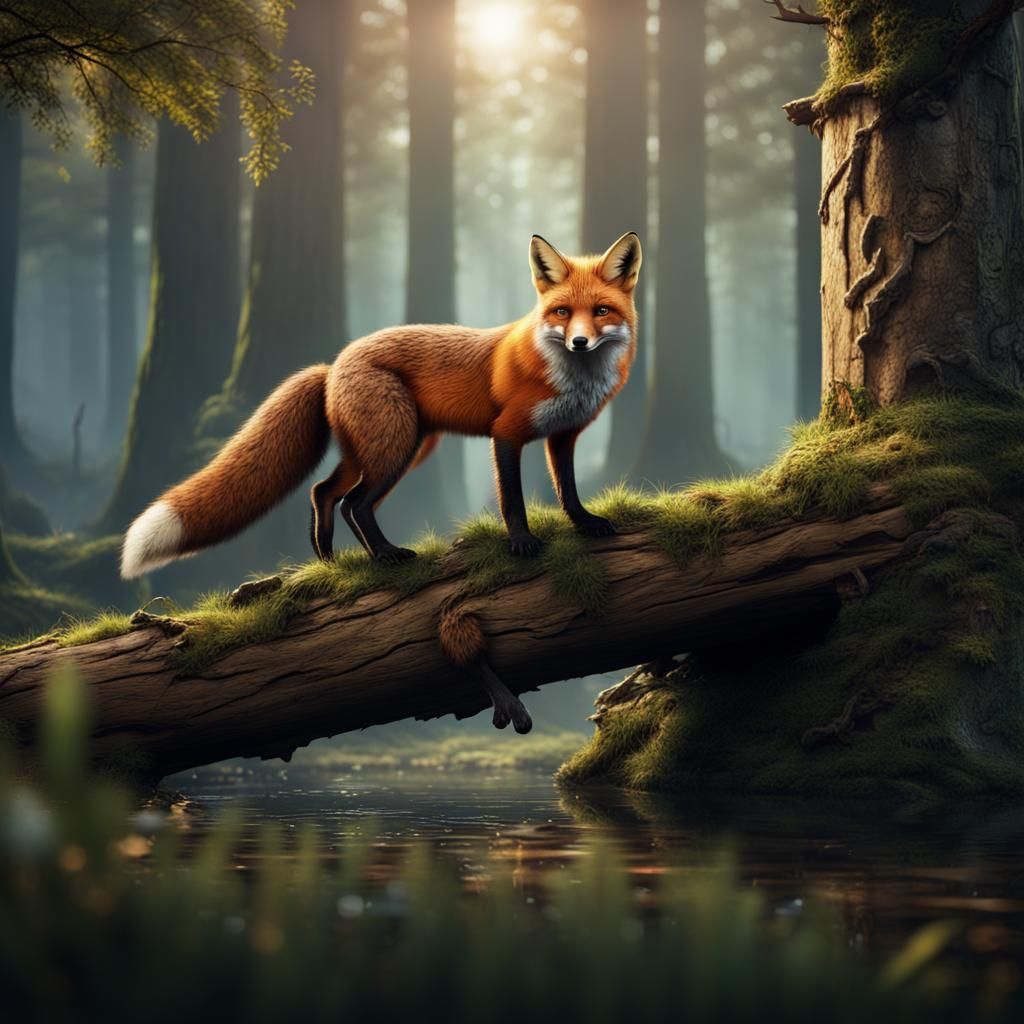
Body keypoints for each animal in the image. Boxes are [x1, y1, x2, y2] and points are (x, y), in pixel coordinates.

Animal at [120, 230, 643, 579]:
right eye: (561, 312)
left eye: (600, 312)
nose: (578, 342)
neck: (571, 379)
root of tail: (333, 364)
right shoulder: (507, 434)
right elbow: (511, 499)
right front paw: (520, 542)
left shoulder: (563, 435)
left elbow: (568, 490)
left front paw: (586, 524)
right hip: (395, 447)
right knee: (355, 503)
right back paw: (385, 555)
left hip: (389, 449)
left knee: (324, 492)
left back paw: (328, 558)